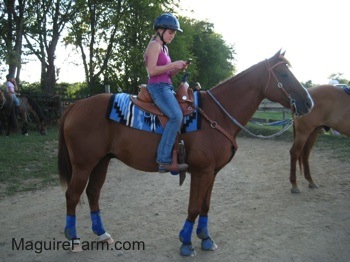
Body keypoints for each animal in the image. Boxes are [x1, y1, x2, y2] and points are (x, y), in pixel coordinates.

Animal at [58, 49, 314, 256]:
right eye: (284, 75)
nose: (308, 103)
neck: (216, 115)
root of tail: (75, 105)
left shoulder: (212, 173)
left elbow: (205, 206)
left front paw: (206, 238)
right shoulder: (201, 172)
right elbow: (194, 206)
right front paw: (186, 243)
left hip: (101, 161)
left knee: (93, 193)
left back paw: (102, 234)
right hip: (83, 164)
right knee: (72, 195)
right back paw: (74, 239)